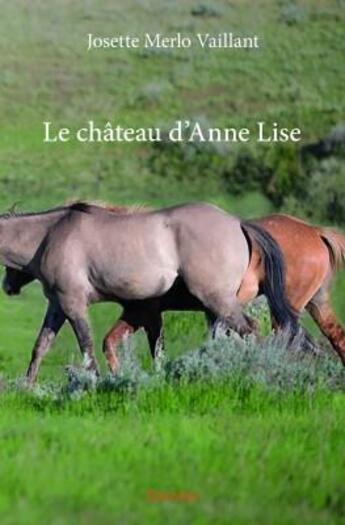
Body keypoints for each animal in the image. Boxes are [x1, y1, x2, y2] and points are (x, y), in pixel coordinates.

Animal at [0, 201, 296, 380]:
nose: (7, 286)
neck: (51, 235)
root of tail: (237, 222)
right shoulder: (58, 305)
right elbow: (41, 346)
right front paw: (28, 386)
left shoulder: (74, 304)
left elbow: (87, 346)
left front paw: (95, 382)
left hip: (218, 301)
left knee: (251, 330)